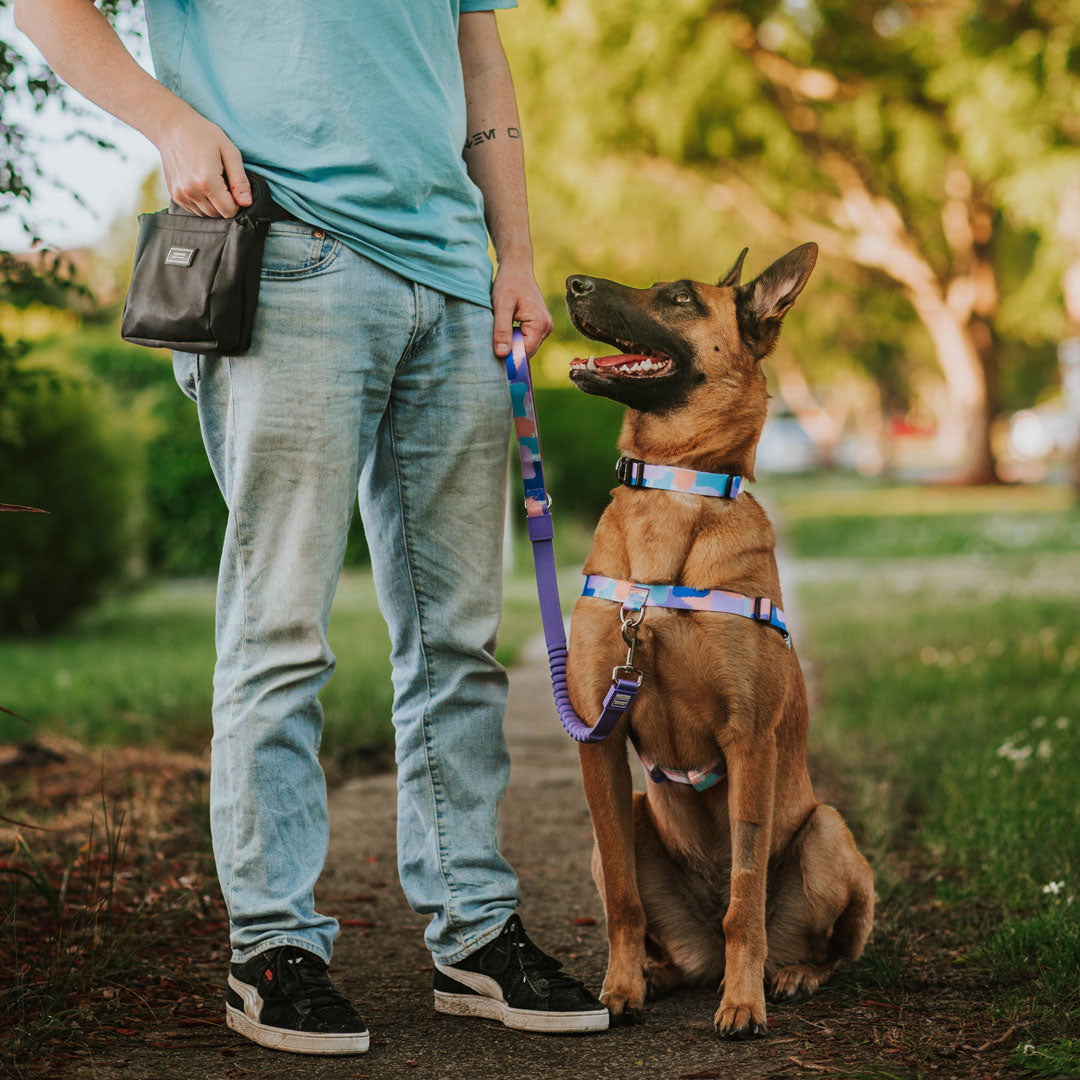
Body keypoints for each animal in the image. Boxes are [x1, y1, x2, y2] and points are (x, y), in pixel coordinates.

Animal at [561, 245, 872, 1036]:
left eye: (677, 296)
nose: (572, 281)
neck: (677, 491)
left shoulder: (749, 740)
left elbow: (745, 897)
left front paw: (743, 1002)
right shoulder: (599, 741)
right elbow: (624, 901)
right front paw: (620, 987)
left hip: (828, 832)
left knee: (818, 943)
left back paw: (787, 975)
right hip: (624, 830)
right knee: (666, 932)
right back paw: (662, 973)